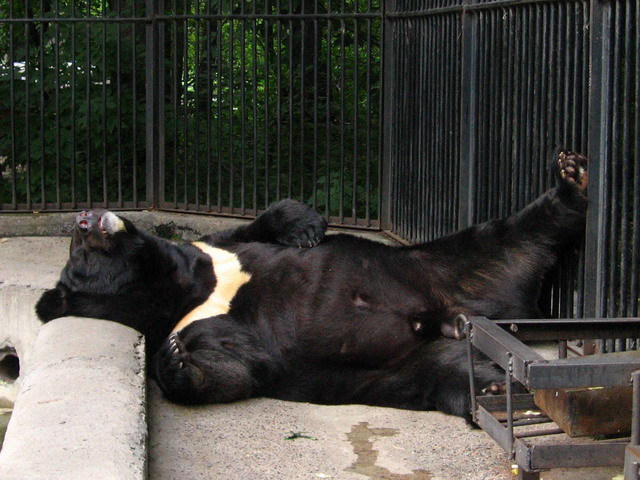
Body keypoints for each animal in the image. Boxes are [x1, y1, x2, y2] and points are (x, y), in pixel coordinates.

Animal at [36, 151, 588, 419]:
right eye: (77, 259)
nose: (84, 216)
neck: (190, 286)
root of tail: (457, 321)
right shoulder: (199, 323)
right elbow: (231, 369)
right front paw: (175, 361)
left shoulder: (217, 249)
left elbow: (261, 224)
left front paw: (305, 227)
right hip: (409, 366)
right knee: (451, 377)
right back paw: (492, 384)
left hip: (447, 264)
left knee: (517, 233)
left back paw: (571, 180)